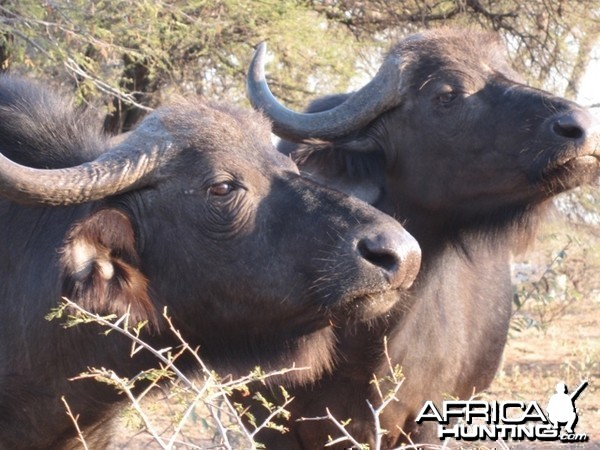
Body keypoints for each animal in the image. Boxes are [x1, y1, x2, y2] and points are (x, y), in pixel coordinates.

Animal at [246, 27, 596, 446]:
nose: (582, 126)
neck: (363, 342)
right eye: (447, 95)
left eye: (510, 73)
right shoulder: (266, 425)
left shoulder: (427, 422)